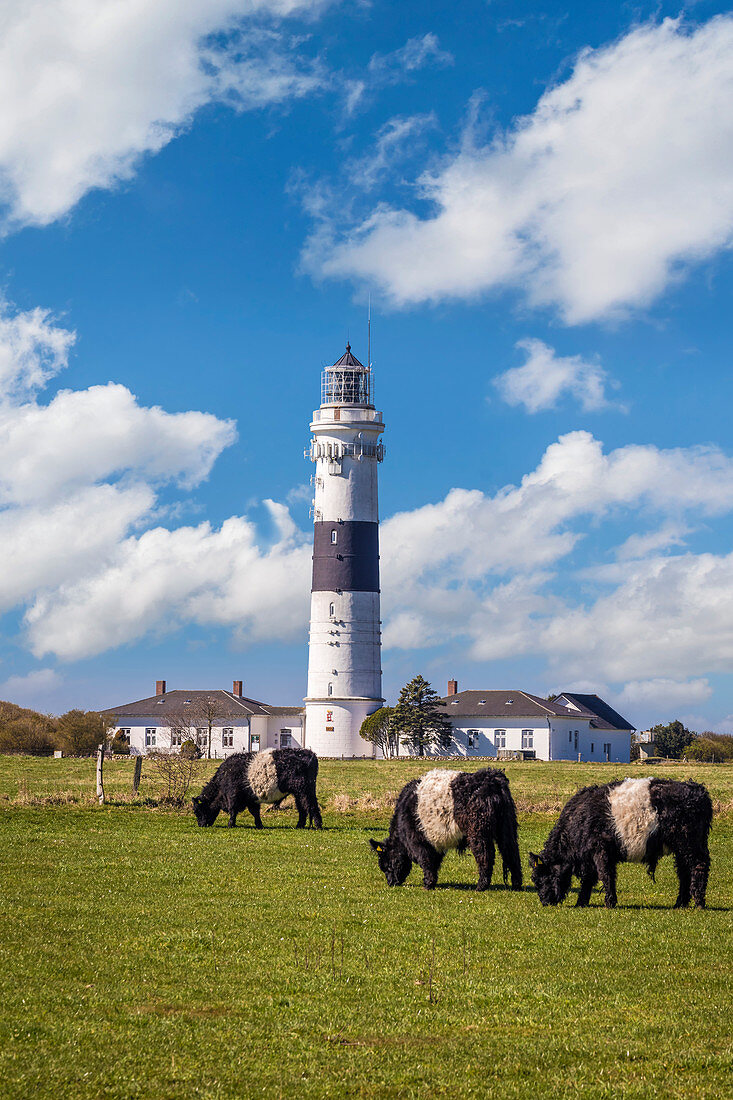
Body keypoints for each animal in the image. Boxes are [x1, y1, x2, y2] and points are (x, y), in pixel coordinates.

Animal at [528, 778, 708, 906]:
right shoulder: (590, 857)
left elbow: (606, 875)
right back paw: (680, 903)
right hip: (683, 848)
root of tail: (697, 788)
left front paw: (610, 902)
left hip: (690, 844)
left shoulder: (601, 851)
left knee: (699, 867)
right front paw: (581, 902)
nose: (545, 901)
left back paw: (698, 902)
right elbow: (589, 880)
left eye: (544, 876)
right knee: (684, 872)